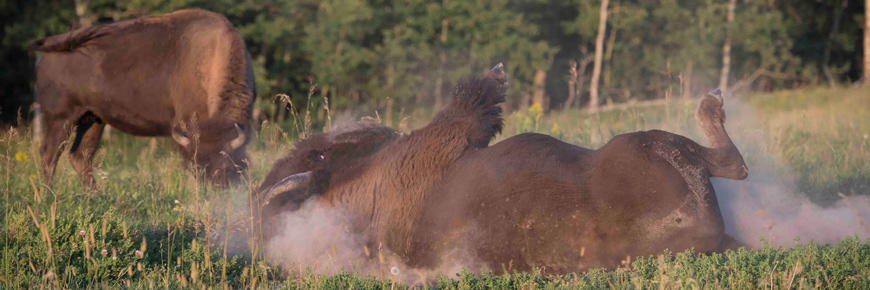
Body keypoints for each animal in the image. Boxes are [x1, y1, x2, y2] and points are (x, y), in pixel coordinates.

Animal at [33, 9, 255, 186]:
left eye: (226, 166)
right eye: (196, 168)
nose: (214, 190)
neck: (212, 57)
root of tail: (52, 45)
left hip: (93, 119)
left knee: (80, 156)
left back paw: (95, 195)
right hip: (60, 118)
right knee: (48, 155)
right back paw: (47, 196)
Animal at [258, 64, 748, 274]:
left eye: (317, 154)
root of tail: (707, 234)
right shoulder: (451, 134)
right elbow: (472, 101)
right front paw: (495, 74)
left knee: (734, 166)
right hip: (641, 145)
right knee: (733, 163)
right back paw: (712, 100)